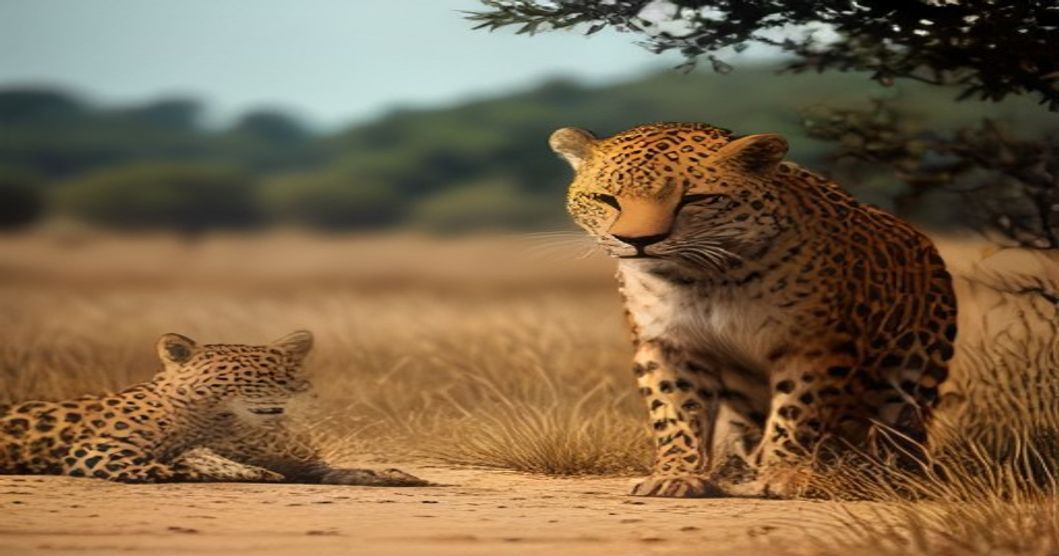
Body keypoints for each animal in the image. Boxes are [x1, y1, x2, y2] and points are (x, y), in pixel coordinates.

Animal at [0, 330, 428, 486]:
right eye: (245, 379)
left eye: (286, 376)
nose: (281, 402)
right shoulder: (100, 452)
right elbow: (173, 465)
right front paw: (249, 472)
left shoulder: (307, 466)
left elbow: (348, 470)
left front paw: (396, 475)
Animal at [550, 122, 957, 498]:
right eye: (605, 198)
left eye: (694, 199)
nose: (638, 241)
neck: (705, 278)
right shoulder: (670, 344)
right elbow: (675, 411)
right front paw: (677, 474)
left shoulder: (815, 344)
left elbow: (798, 407)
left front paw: (786, 474)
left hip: (910, 371)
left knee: (900, 430)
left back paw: (892, 475)